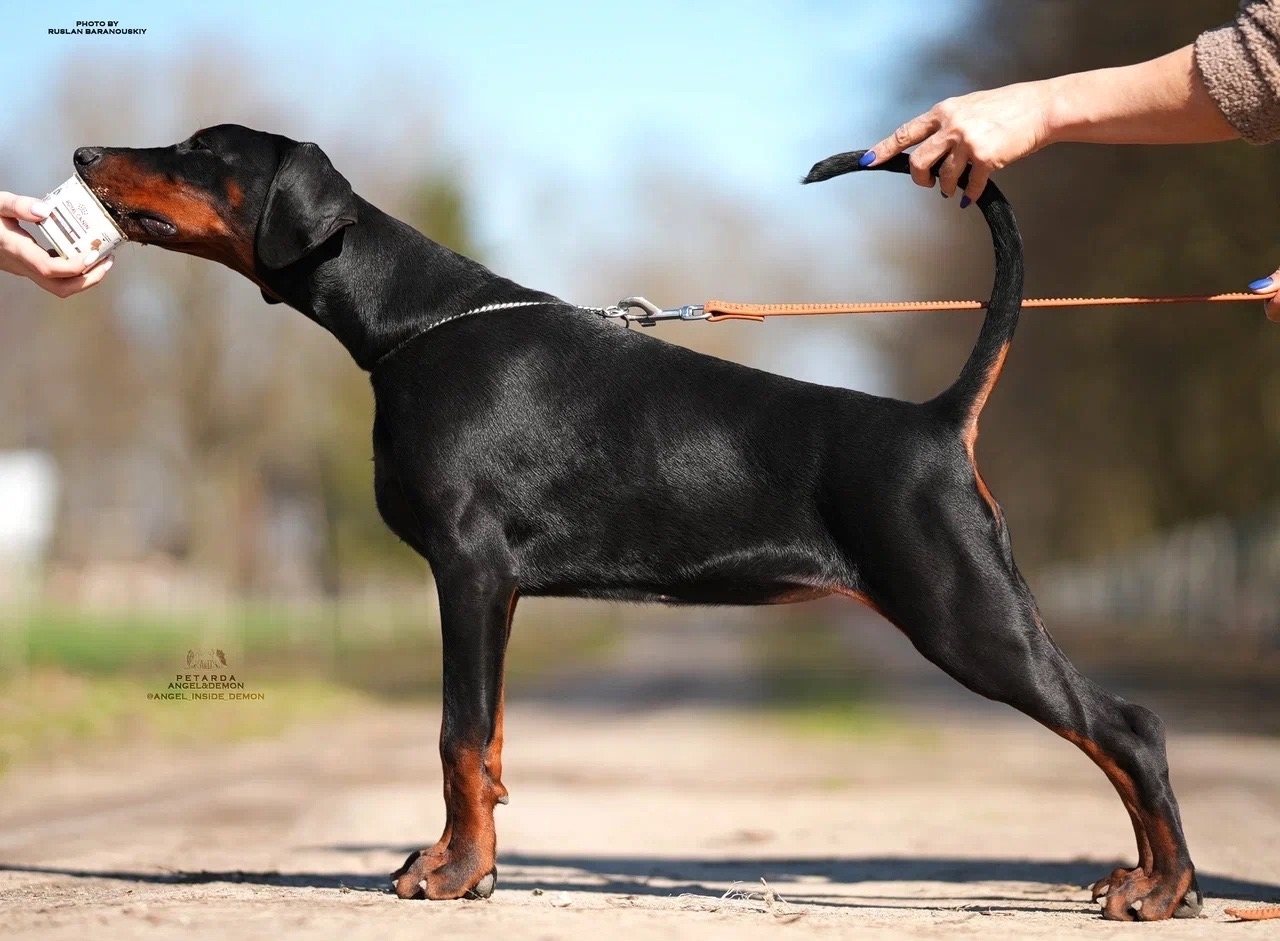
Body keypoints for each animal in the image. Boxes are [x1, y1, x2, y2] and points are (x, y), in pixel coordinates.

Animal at [72, 125, 1202, 920]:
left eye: (199, 151)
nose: (83, 154)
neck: (410, 320)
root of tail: (935, 421)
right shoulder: (499, 587)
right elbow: (487, 741)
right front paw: (466, 862)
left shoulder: (466, 567)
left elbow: (455, 732)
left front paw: (456, 875)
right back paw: (1157, 881)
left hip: (961, 606)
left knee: (1127, 726)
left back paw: (1161, 886)